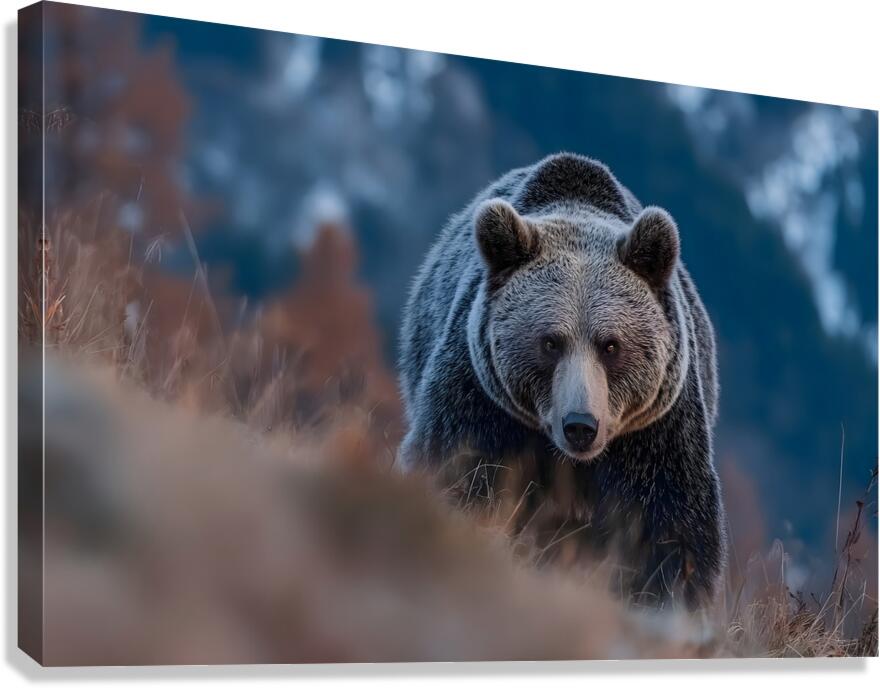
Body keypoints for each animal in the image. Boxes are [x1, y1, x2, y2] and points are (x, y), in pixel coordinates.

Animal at [397, 152, 726, 610]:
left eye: (610, 345)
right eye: (551, 342)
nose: (580, 425)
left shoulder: (656, 433)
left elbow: (668, 528)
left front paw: (665, 596)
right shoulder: (481, 399)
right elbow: (458, 471)